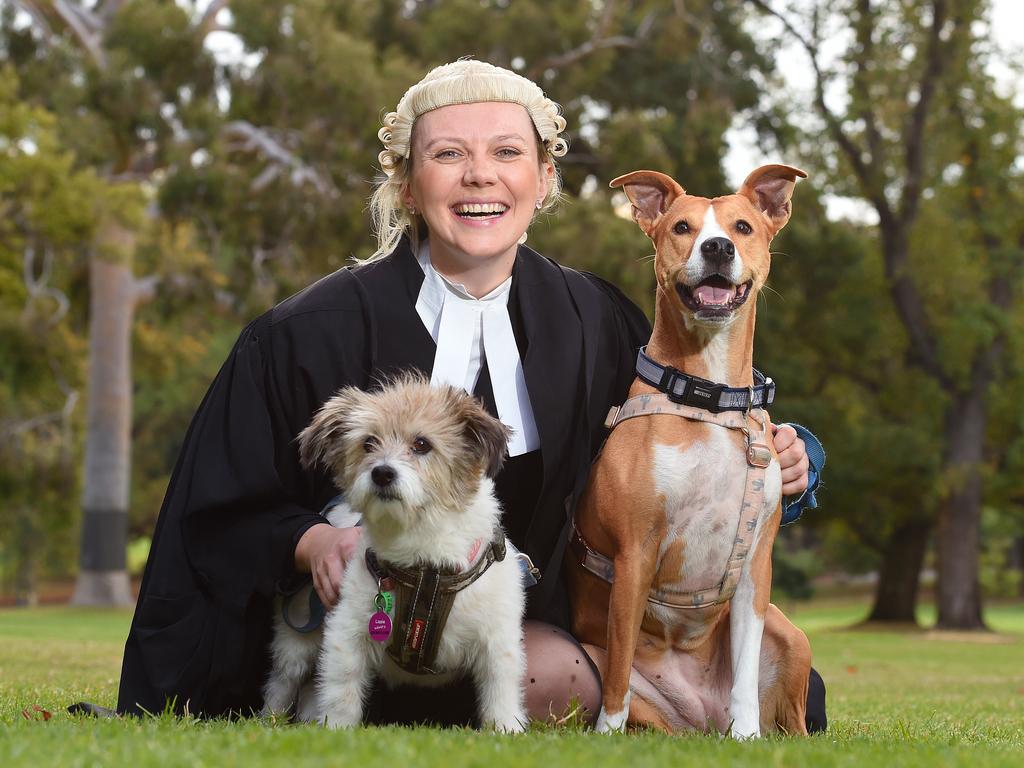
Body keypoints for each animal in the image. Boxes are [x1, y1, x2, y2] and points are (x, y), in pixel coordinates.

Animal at [262, 378, 528, 733]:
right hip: (297, 639)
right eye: (368, 443)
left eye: (422, 443)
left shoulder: (497, 642)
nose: (382, 473)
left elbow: (500, 691)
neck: (425, 561)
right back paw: (269, 723)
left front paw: (506, 730)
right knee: (282, 683)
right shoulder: (347, 633)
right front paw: (337, 731)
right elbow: (342, 689)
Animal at [565, 166, 811, 741]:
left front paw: (748, 736)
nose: (718, 246)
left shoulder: (755, 568)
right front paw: (605, 735)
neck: (712, 398)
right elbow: (618, 673)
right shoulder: (634, 554)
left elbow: (745, 671)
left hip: (791, 636)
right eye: (681, 227)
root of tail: (701, 716)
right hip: (598, 657)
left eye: (742, 227)